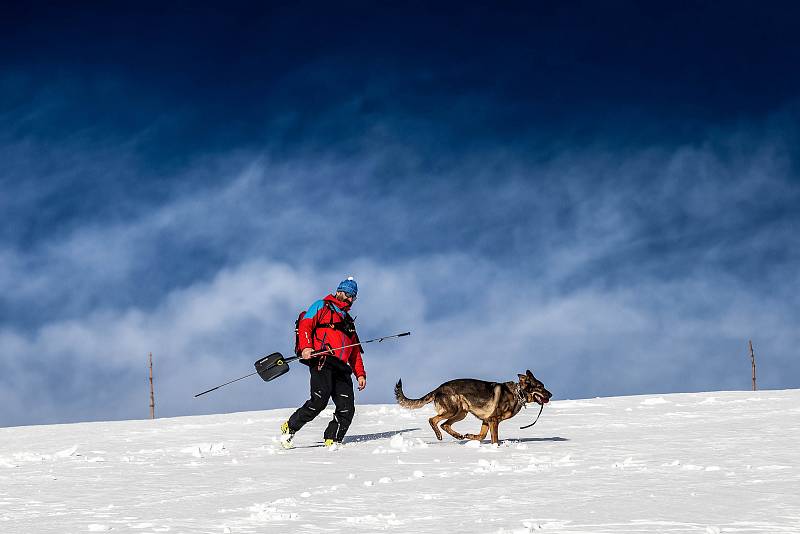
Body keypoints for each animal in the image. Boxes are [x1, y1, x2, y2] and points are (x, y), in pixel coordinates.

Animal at [394, 370, 552, 446]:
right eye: (540, 387)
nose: (551, 394)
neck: (518, 393)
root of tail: (438, 388)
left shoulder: (487, 420)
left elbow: (482, 435)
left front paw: (471, 437)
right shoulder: (494, 420)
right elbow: (495, 439)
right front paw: (496, 448)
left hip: (461, 413)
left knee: (445, 424)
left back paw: (458, 436)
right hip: (452, 410)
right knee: (433, 420)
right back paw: (439, 435)